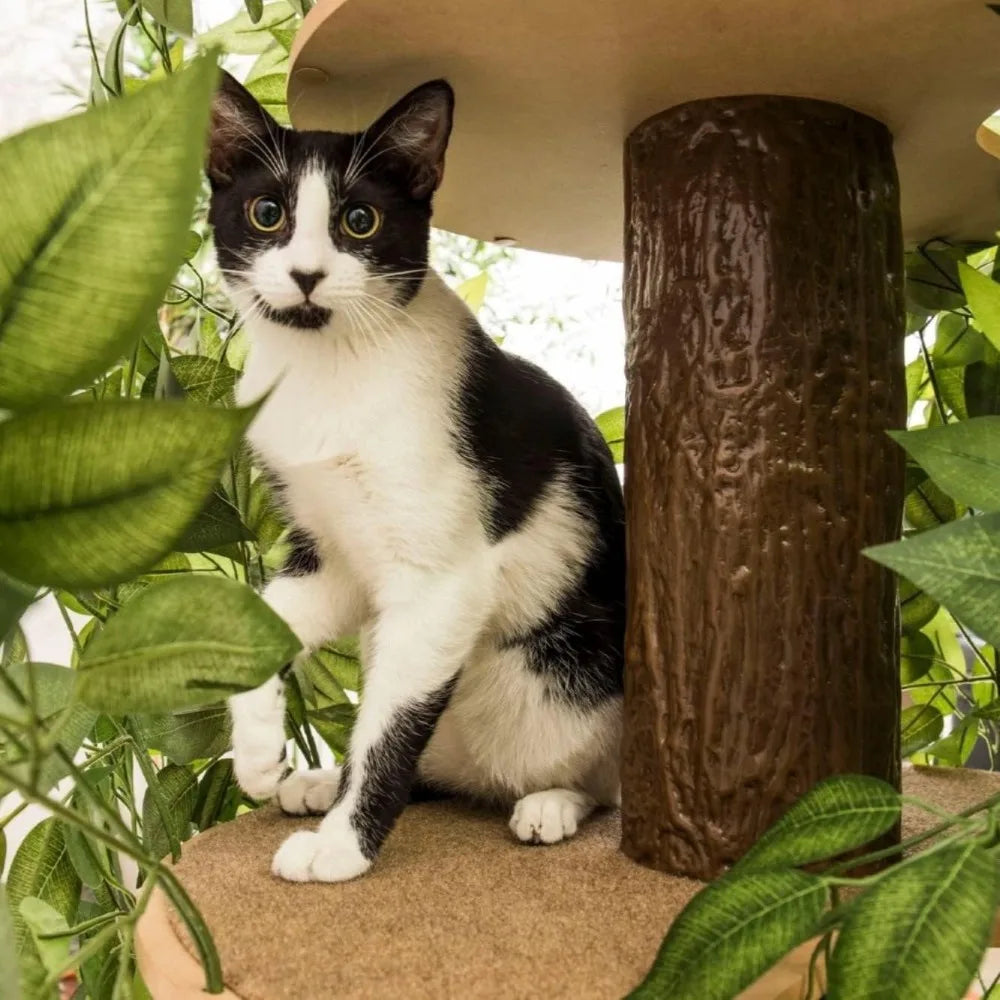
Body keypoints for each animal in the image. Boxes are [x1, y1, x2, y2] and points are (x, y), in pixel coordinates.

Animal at [206, 72, 620, 884]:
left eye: (360, 221)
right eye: (267, 212)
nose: (306, 275)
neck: (332, 369)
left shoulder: (441, 582)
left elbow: (391, 725)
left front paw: (343, 846)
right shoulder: (327, 552)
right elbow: (270, 617)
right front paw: (261, 752)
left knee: (597, 777)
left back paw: (551, 803)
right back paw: (316, 781)